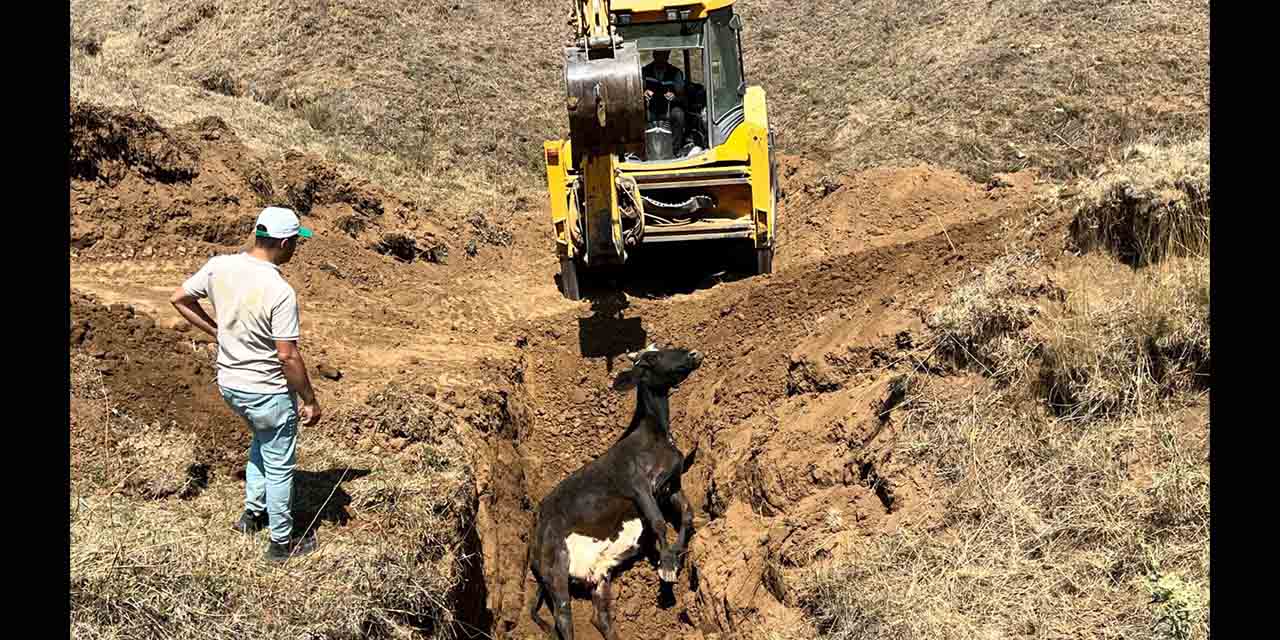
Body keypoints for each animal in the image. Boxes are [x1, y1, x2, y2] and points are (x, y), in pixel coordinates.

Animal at [529, 345, 706, 640]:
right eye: (651, 358)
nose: (693, 353)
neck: (654, 436)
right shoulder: (638, 486)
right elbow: (658, 522)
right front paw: (667, 566)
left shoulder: (671, 486)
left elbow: (687, 515)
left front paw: (676, 555)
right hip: (555, 566)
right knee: (563, 617)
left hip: (600, 576)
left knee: (600, 618)